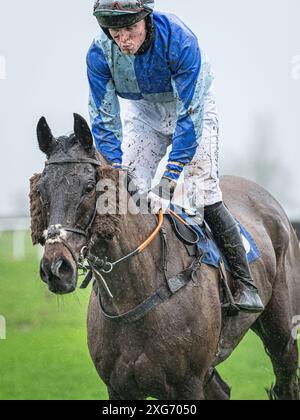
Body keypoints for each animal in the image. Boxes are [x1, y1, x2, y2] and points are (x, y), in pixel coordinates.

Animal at [30, 114, 300, 400]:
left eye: (90, 187)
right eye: (41, 190)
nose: (55, 268)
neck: (134, 298)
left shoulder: (188, 384)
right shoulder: (120, 388)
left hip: (282, 333)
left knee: (286, 380)